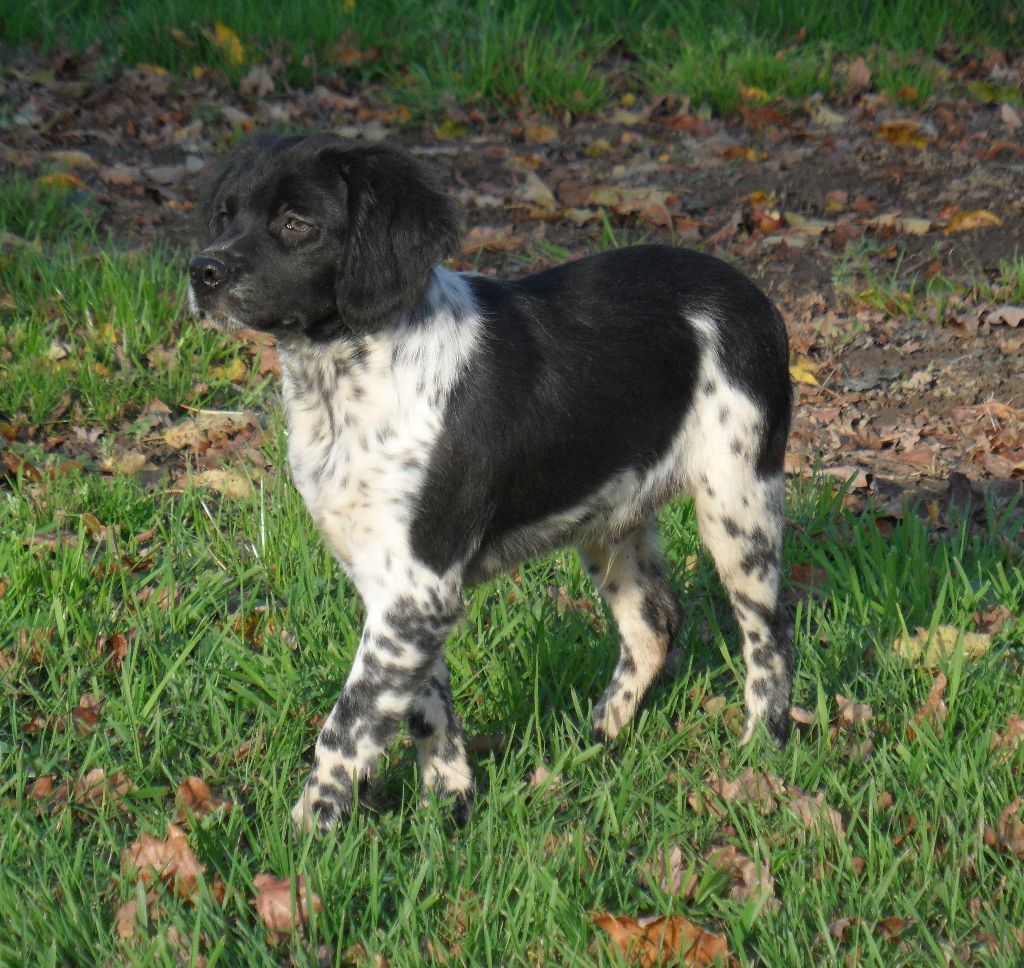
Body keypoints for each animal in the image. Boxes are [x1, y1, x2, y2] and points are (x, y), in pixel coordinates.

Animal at [188, 133, 793, 833]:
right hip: (611, 513)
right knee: (655, 623)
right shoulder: (403, 591)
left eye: (296, 223)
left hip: (737, 503)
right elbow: (424, 707)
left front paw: (307, 834)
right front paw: (447, 808)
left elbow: (348, 724)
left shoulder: (415, 585)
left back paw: (763, 753)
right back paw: (596, 740)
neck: (345, 377)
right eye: (224, 216)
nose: (201, 272)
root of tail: (756, 296)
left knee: (769, 633)